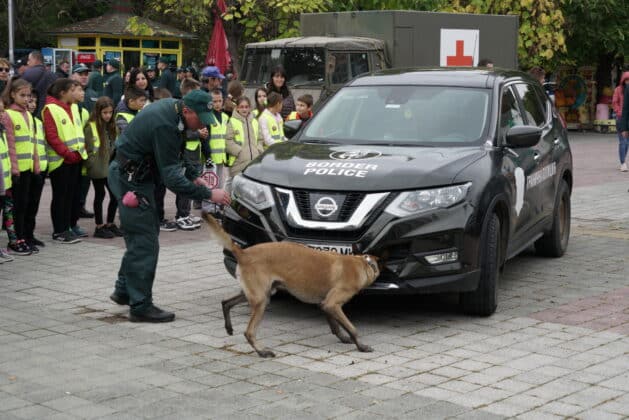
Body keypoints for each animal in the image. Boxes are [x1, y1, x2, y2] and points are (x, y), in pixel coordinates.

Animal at [204, 213, 380, 358]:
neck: (362, 263)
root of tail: (243, 253)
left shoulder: (326, 305)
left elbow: (335, 327)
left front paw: (343, 338)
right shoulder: (333, 304)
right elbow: (352, 328)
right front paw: (361, 346)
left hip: (259, 293)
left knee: (226, 302)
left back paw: (229, 328)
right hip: (261, 301)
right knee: (249, 332)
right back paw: (262, 351)